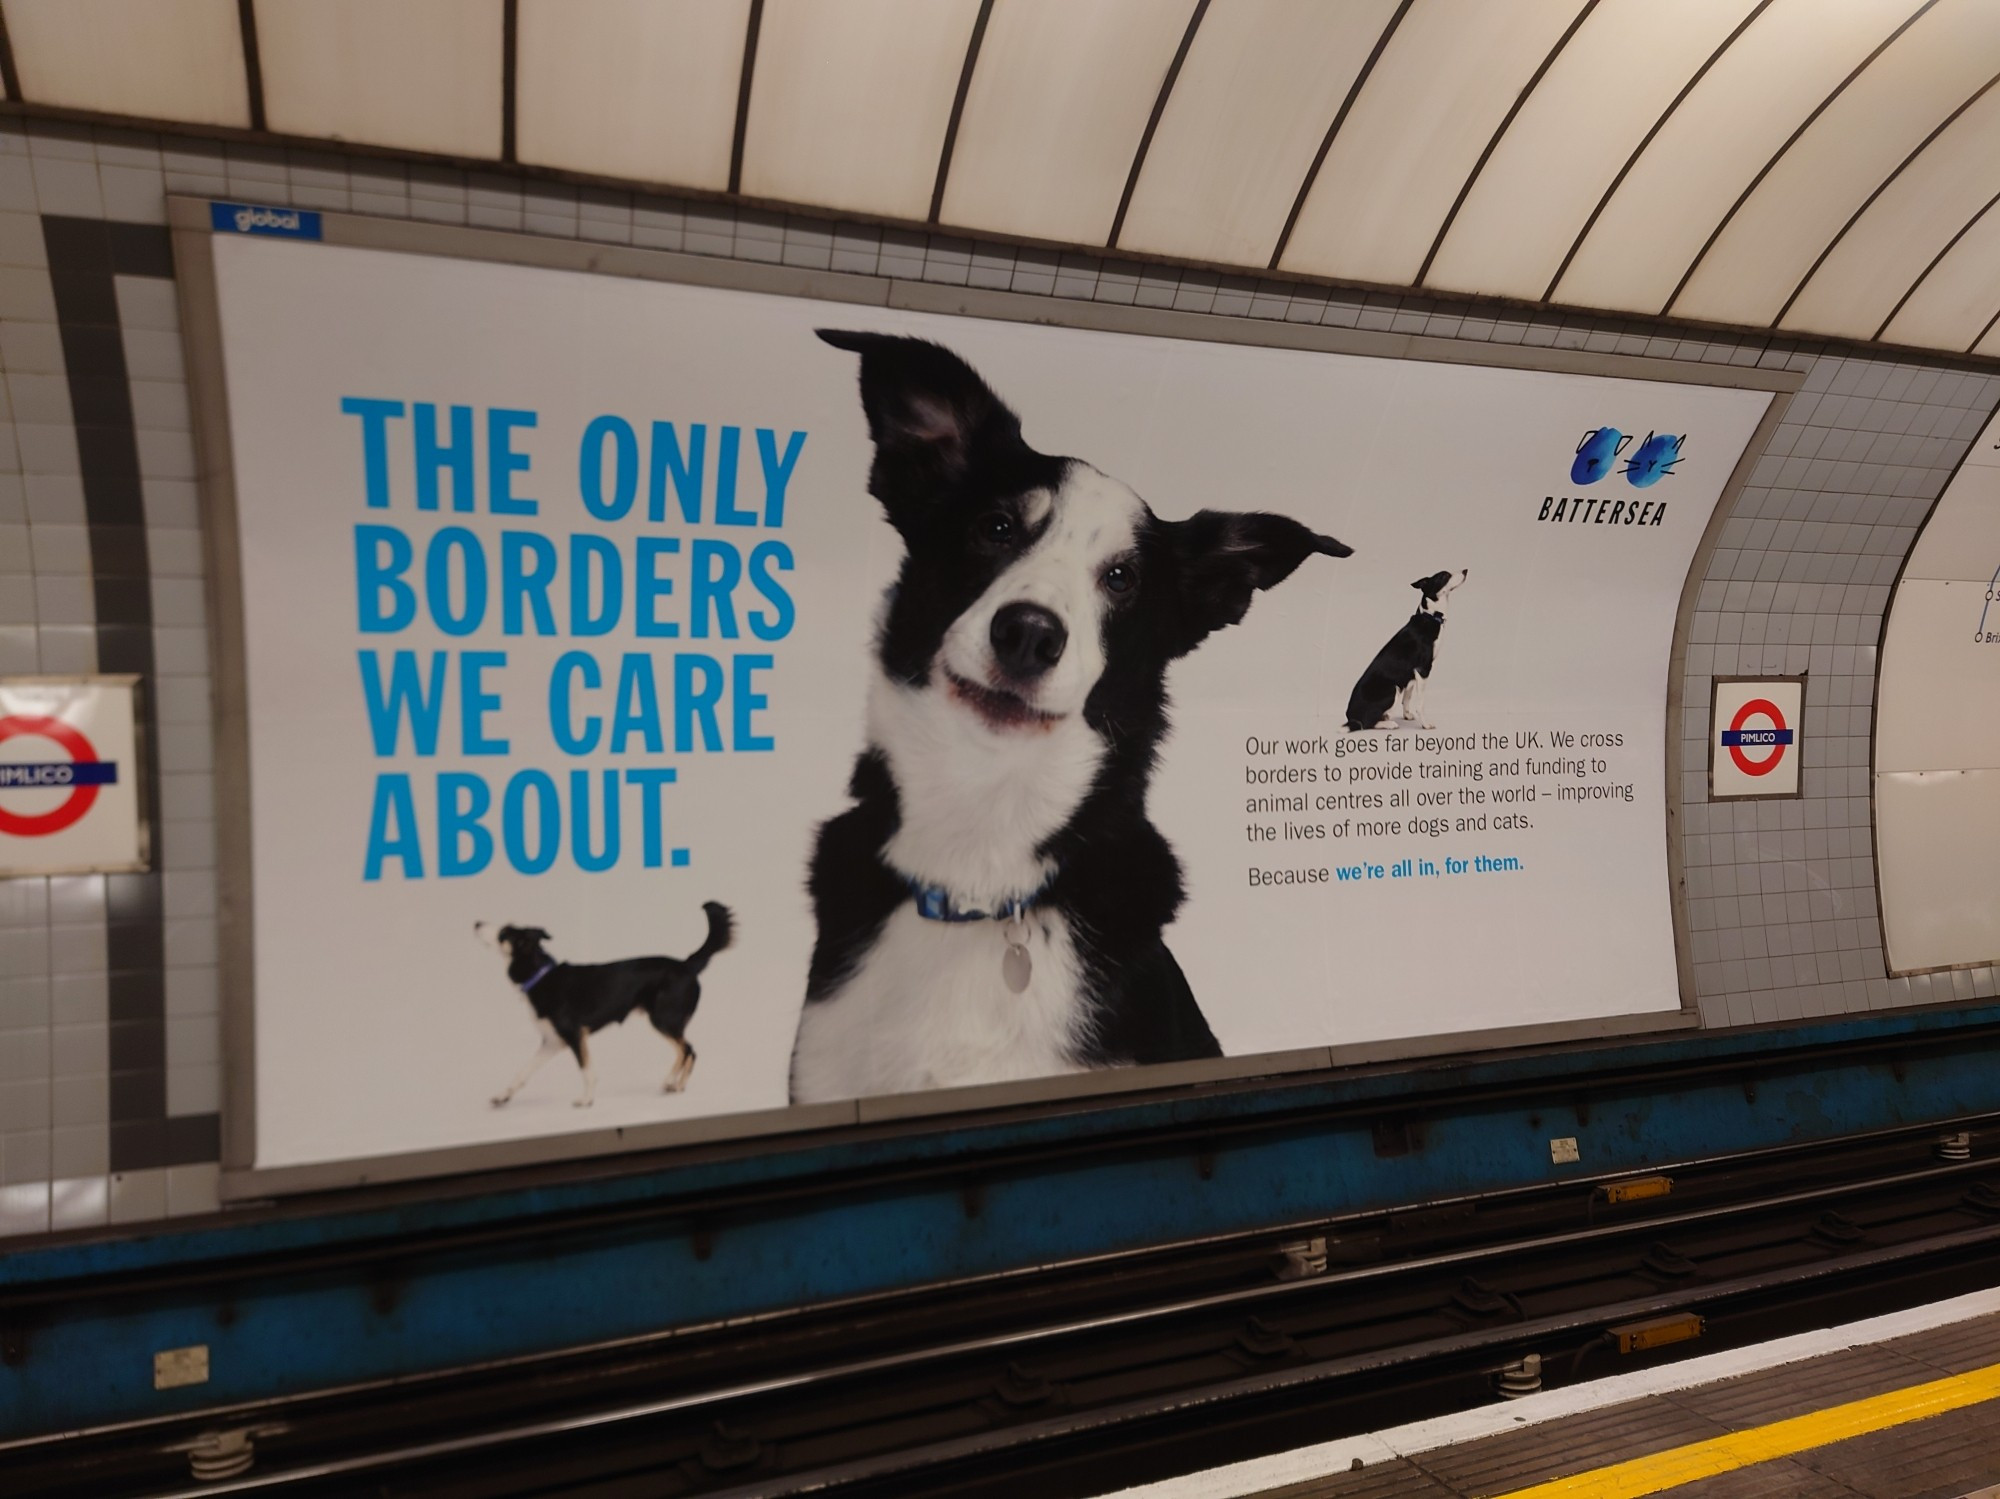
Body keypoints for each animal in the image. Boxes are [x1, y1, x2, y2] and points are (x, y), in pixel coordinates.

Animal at [480, 899, 732, 1111]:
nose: (477, 922)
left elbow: (587, 1071)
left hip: (663, 1020)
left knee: (687, 1050)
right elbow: (522, 1072)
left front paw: (586, 1100)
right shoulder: (552, 1042)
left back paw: (671, 1081)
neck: (540, 976)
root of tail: (686, 964)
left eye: (503, 933)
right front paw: (502, 1096)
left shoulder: (574, 1035)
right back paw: (676, 1084)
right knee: (689, 1051)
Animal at [1344, 567, 1472, 735]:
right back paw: (1389, 723)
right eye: (1445, 575)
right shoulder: (1423, 669)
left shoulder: (1411, 674)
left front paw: (1407, 715)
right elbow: (1420, 703)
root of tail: (1350, 717)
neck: (1431, 616)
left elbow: (1408, 697)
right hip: (1393, 688)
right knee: (1366, 723)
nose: (1465, 570)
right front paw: (1425, 724)